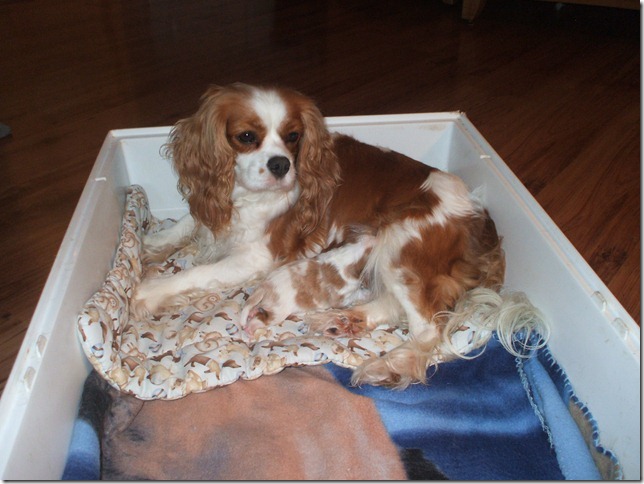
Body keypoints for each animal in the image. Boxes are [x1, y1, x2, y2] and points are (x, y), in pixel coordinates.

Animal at [132, 82, 544, 386]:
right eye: (246, 136)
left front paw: (148, 291)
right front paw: (152, 242)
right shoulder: (215, 209)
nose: (281, 165)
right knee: (396, 308)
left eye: (293, 136)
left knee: (429, 331)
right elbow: (192, 222)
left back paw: (388, 365)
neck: (240, 193)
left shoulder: (257, 256)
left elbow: (197, 273)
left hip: (400, 245)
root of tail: (482, 221)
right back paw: (343, 321)